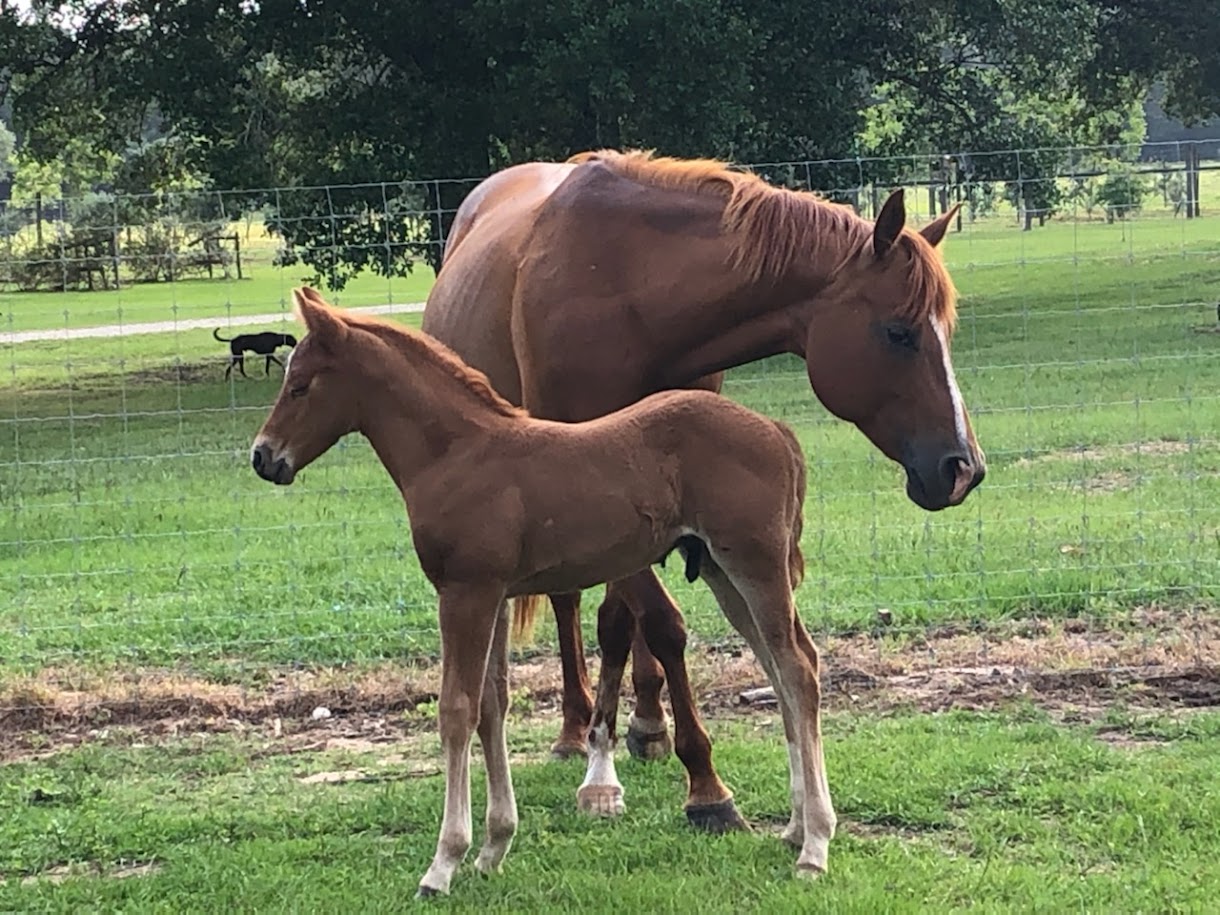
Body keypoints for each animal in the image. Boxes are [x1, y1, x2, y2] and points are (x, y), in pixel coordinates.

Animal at [250, 290, 839, 897]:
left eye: (300, 386)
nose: (263, 457)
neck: (456, 455)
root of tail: (777, 431)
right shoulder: (494, 595)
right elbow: (493, 704)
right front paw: (493, 848)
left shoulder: (464, 593)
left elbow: (456, 709)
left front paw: (443, 863)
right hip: (724, 572)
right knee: (782, 667)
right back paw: (795, 828)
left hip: (754, 564)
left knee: (797, 669)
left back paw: (815, 845)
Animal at [424, 148, 985, 829]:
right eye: (899, 332)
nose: (963, 468)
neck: (628, 286)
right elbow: (662, 623)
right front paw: (702, 786)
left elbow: (630, 620)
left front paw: (648, 749)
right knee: (569, 600)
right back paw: (577, 732)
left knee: (611, 615)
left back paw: (638, 727)